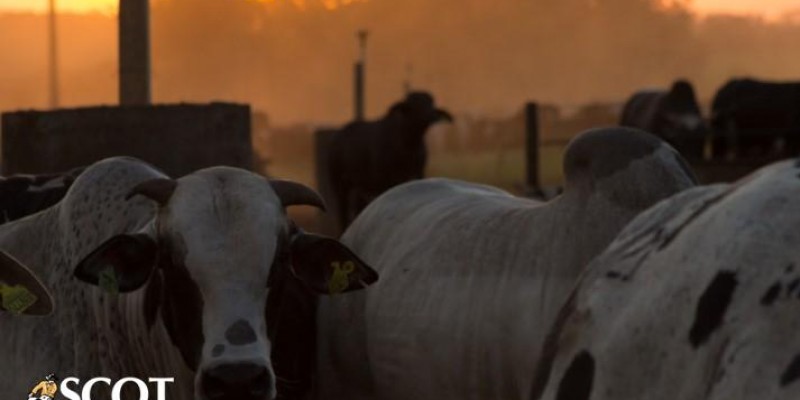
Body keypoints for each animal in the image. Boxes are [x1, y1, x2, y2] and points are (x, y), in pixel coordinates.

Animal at [324, 89, 450, 230]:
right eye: (414, 104)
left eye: (431, 103)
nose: (431, 115)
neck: (409, 146)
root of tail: (337, 136)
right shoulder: (385, 181)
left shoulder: (418, 173)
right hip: (339, 184)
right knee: (343, 211)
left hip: (359, 187)